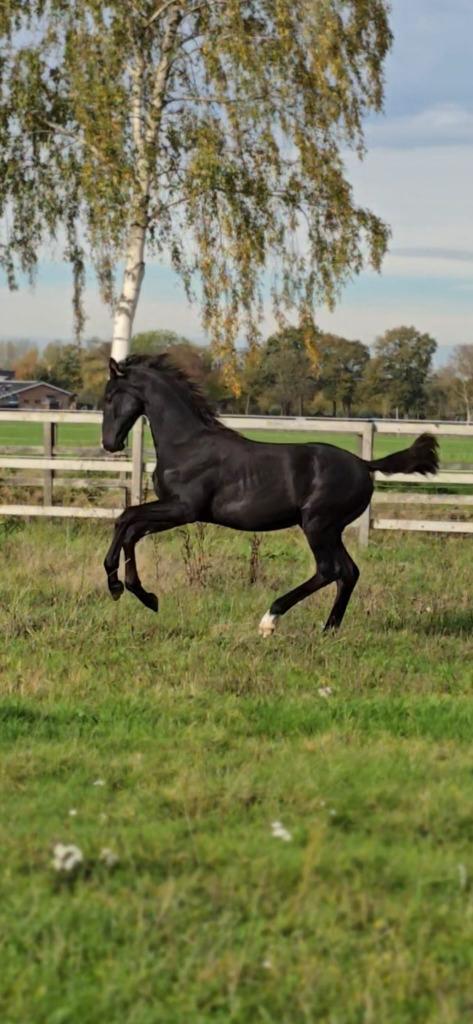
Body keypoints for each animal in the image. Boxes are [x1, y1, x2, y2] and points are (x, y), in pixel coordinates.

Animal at [102, 355, 439, 636]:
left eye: (109, 397)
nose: (109, 444)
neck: (187, 444)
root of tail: (364, 464)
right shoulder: (173, 511)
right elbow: (130, 530)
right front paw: (144, 595)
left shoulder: (183, 509)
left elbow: (126, 518)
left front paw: (120, 586)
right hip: (331, 529)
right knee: (349, 572)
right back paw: (328, 629)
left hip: (317, 524)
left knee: (329, 570)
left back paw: (270, 620)